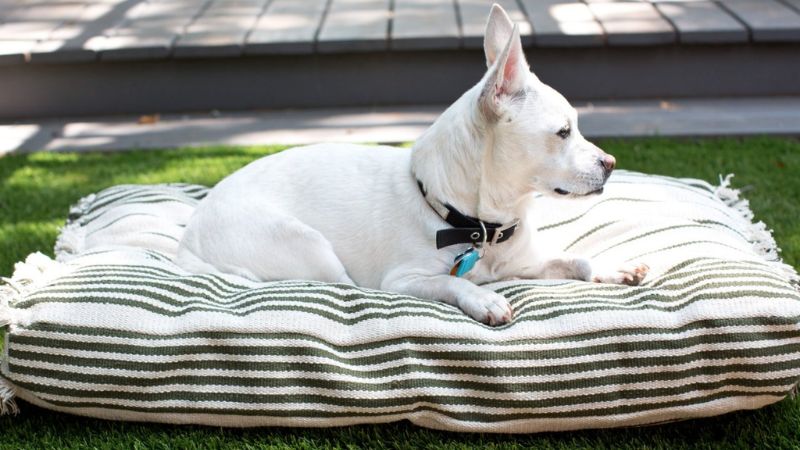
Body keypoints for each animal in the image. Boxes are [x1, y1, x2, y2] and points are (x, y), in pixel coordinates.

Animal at [173, 4, 644, 326]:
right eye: (563, 132)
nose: (611, 162)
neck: (483, 227)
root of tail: (189, 236)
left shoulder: (527, 265)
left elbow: (573, 258)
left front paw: (609, 266)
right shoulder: (402, 281)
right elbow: (452, 281)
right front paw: (483, 298)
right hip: (311, 250)